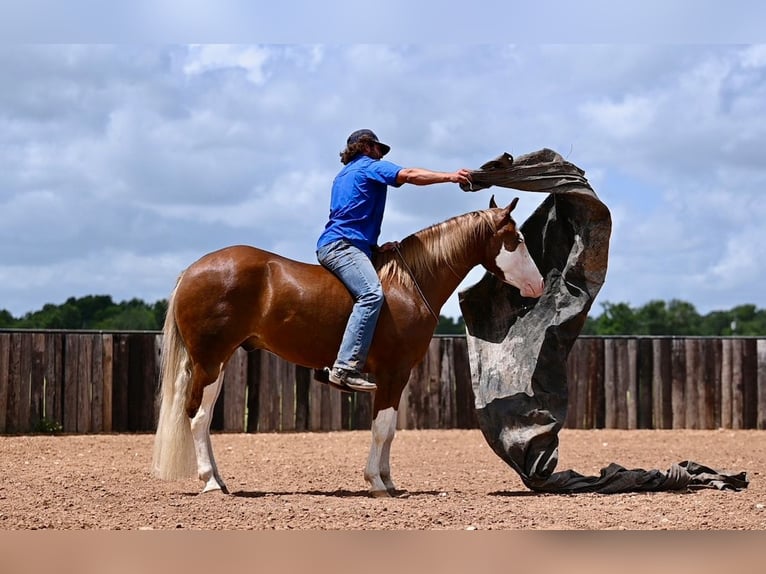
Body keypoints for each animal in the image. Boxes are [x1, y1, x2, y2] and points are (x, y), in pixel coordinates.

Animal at [153, 197, 544, 496]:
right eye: (517, 239)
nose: (538, 284)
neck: (407, 284)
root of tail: (191, 271)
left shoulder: (398, 377)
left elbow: (391, 429)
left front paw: (388, 479)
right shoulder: (391, 373)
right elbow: (382, 428)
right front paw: (377, 483)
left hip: (216, 364)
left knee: (203, 420)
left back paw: (219, 480)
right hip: (210, 362)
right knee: (197, 417)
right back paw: (210, 483)